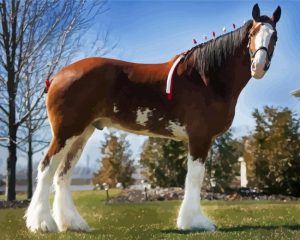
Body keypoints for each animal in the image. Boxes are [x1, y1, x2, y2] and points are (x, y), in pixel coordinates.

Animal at [25, 3, 282, 232]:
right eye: (252, 34)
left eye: (275, 37)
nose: (259, 66)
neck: (206, 78)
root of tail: (58, 76)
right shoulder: (199, 138)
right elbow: (195, 178)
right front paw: (194, 223)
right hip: (66, 133)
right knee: (46, 168)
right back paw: (42, 224)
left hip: (82, 133)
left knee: (63, 175)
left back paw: (73, 224)